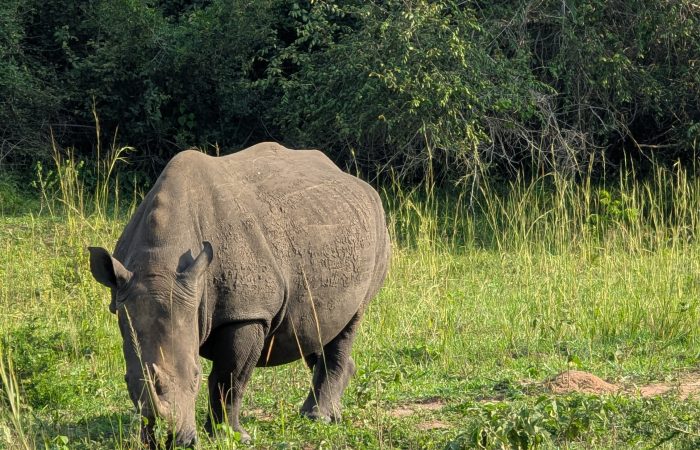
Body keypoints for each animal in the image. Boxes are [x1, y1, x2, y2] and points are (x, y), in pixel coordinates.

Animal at [88, 142, 390, 447]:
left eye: (196, 376)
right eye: (127, 382)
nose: (172, 442)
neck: (161, 261)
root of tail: (354, 179)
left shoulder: (247, 313)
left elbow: (229, 378)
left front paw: (231, 436)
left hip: (378, 229)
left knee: (351, 321)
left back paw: (319, 418)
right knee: (315, 328)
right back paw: (324, 410)